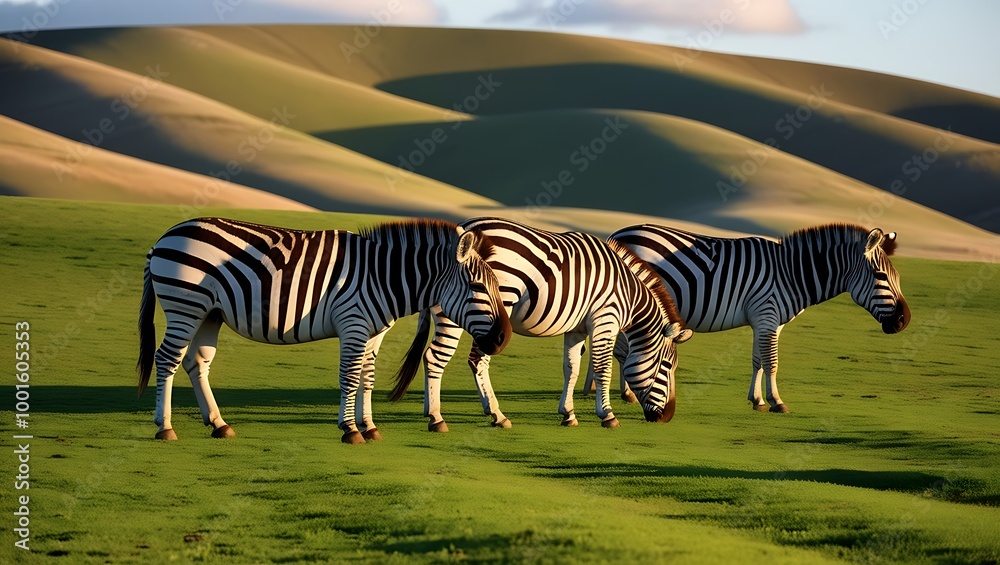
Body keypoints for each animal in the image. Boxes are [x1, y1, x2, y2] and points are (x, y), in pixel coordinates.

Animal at [136, 217, 512, 444]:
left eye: (497, 286)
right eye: (478, 287)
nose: (503, 338)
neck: (383, 276)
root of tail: (165, 237)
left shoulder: (373, 332)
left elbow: (367, 377)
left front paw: (370, 426)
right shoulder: (353, 324)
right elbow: (349, 376)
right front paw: (350, 429)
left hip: (209, 313)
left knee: (196, 363)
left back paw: (218, 423)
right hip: (185, 304)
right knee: (166, 359)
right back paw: (165, 426)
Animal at [388, 217, 693, 430]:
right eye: (667, 366)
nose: (667, 418)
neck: (627, 293)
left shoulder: (576, 328)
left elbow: (571, 367)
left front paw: (568, 414)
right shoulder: (605, 319)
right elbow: (602, 368)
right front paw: (607, 415)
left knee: (434, 357)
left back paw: (436, 411)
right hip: (471, 311)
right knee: (454, 359)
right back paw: (469, 416)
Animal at [596, 223, 910, 412]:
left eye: (897, 277)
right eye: (881, 276)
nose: (904, 321)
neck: (791, 273)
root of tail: (619, 234)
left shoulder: (767, 320)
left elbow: (758, 359)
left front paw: (757, 399)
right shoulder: (767, 314)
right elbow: (772, 361)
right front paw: (777, 402)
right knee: (622, 350)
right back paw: (627, 393)